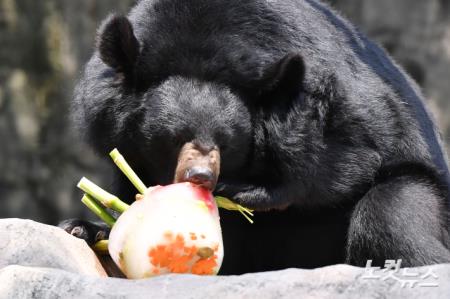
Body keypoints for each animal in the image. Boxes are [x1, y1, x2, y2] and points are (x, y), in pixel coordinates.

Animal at [62, 0, 450, 276]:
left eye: (226, 142)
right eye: (173, 138)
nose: (201, 177)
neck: (202, 54)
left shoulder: (325, 93)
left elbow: (355, 145)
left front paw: (248, 192)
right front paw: (87, 228)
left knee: (389, 214)